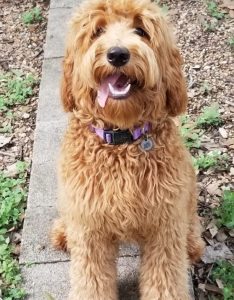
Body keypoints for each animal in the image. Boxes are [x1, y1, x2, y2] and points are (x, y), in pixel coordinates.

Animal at [50, 1, 203, 298]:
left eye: (141, 30)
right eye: (97, 31)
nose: (118, 54)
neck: (121, 142)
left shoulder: (164, 227)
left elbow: (165, 279)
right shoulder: (89, 229)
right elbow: (91, 280)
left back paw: (192, 245)